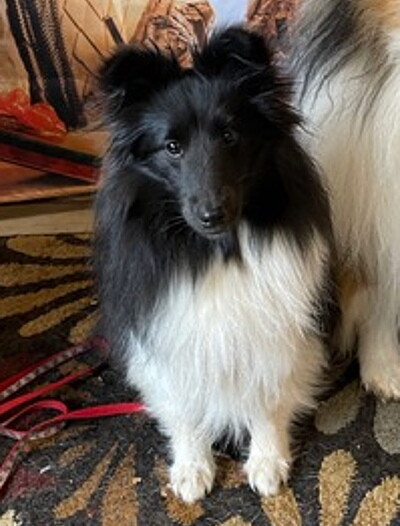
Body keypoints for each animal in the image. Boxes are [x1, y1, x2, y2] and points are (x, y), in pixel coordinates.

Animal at [94, 27, 334, 503]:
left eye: (229, 136)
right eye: (172, 147)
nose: (211, 215)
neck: (217, 252)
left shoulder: (275, 334)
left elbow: (267, 400)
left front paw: (267, 462)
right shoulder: (172, 336)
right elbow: (185, 409)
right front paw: (192, 468)